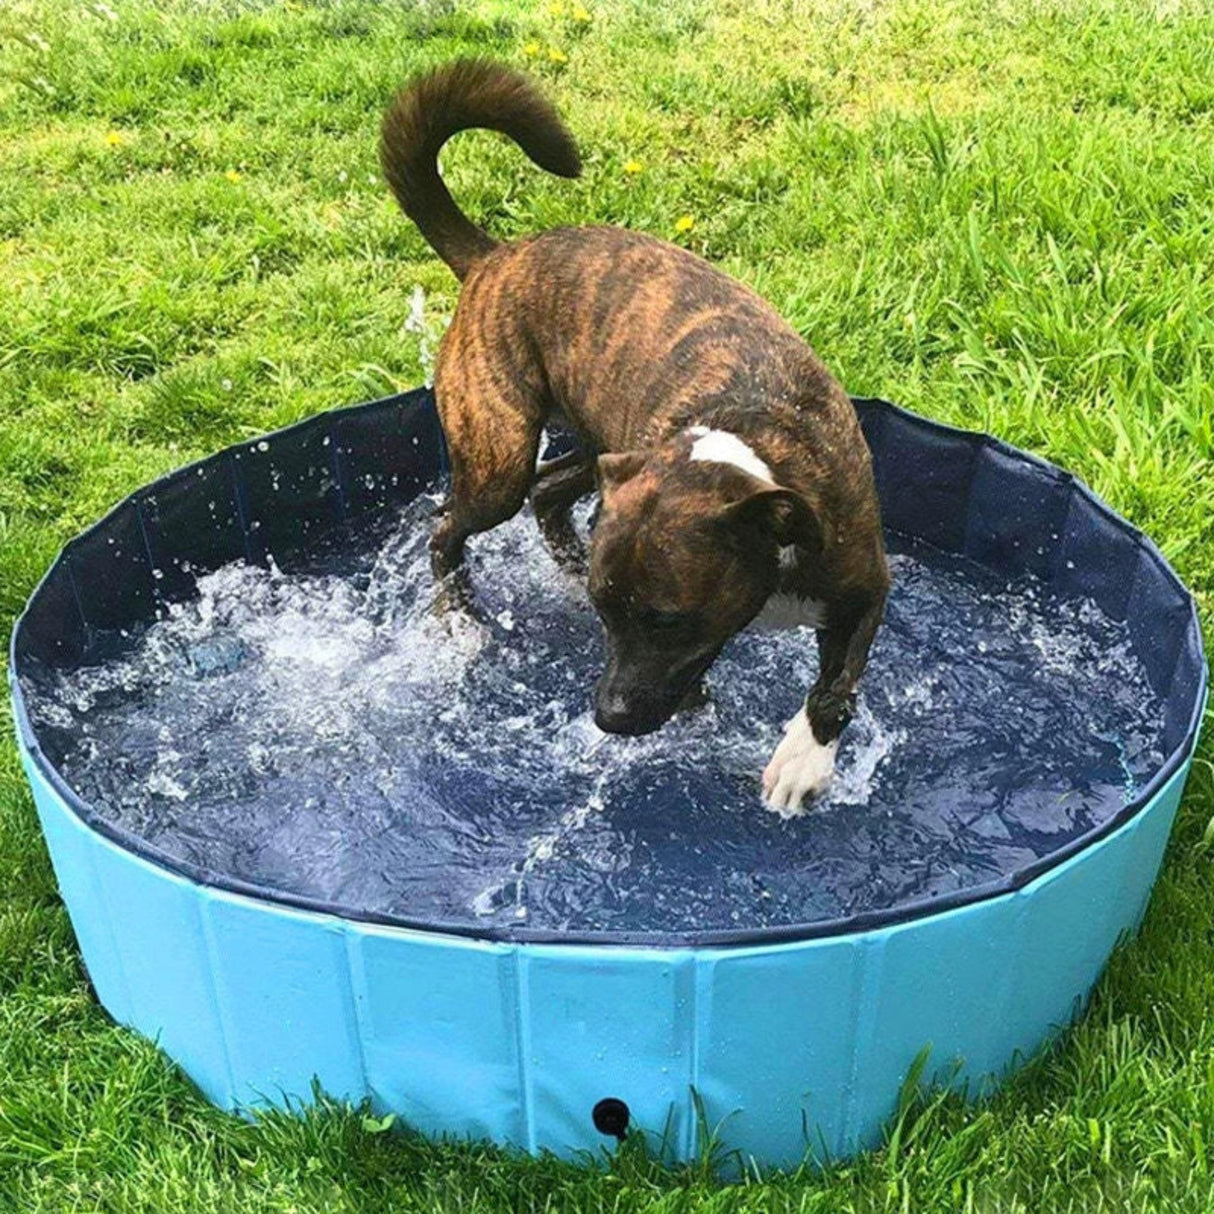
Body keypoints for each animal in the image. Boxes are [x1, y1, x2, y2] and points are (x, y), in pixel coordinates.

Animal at [381, 59, 893, 815]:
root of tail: (495, 257)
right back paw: (458, 617)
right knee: (450, 523)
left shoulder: (863, 582)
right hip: (499, 450)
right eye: (607, 615)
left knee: (546, 493)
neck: (750, 461)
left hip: (598, 446)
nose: (608, 717)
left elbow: (836, 686)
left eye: (669, 619)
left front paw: (803, 761)